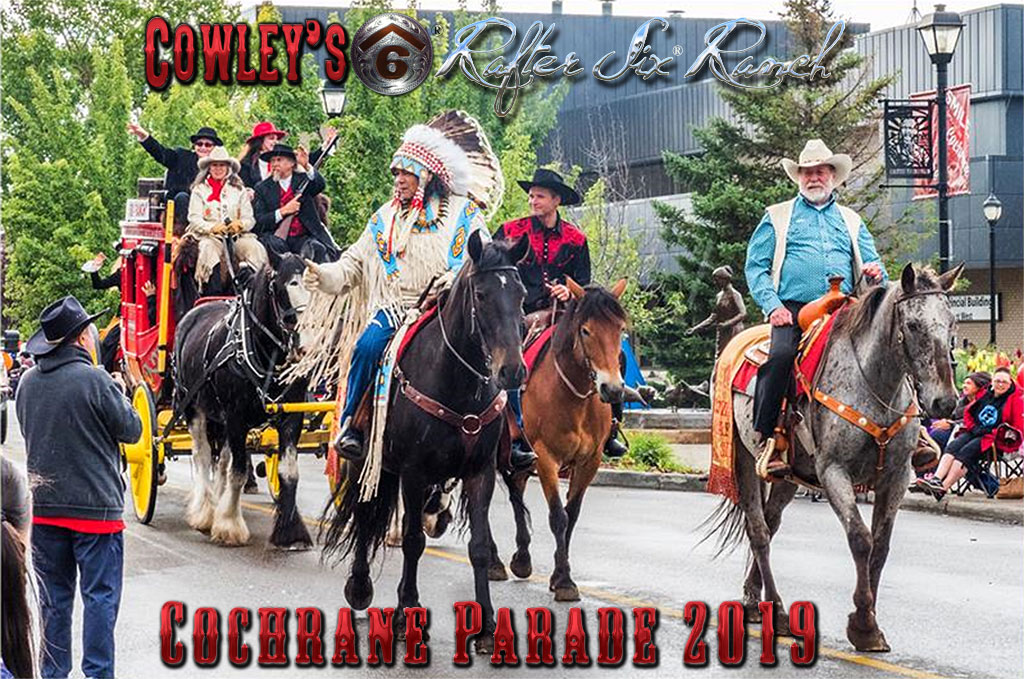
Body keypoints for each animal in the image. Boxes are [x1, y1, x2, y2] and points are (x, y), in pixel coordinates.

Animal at [174, 251, 313, 548]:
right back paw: (205, 511)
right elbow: (237, 471)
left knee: (221, 460)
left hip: (219, 418)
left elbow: (289, 471)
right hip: (193, 408)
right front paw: (229, 525)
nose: (306, 346)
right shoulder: (236, 418)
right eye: (285, 285)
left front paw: (290, 531)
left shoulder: (291, 416)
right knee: (203, 455)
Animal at [319, 231, 528, 655]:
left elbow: (479, 546)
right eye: (481, 294)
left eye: (521, 293)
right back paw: (359, 587)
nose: (512, 370)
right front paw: (406, 614)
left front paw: (487, 625)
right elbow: (413, 540)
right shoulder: (413, 472)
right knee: (364, 517)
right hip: (369, 463)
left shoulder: (479, 472)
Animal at [491, 276, 626, 602]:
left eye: (620, 329)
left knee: (515, 494)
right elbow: (557, 518)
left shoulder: (589, 462)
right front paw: (564, 581)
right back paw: (493, 561)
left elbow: (571, 515)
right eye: (586, 330)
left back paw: (522, 559)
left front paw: (558, 575)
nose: (613, 389)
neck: (574, 396)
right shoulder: (547, 459)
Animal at [712, 264, 958, 655]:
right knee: (759, 531)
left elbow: (881, 546)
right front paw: (863, 624)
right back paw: (776, 610)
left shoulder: (896, 476)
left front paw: (869, 622)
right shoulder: (834, 472)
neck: (874, 381)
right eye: (913, 324)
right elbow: (861, 539)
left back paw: (754, 598)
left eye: (951, 323)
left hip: (790, 475)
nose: (945, 403)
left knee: (771, 522)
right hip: (742, 461)